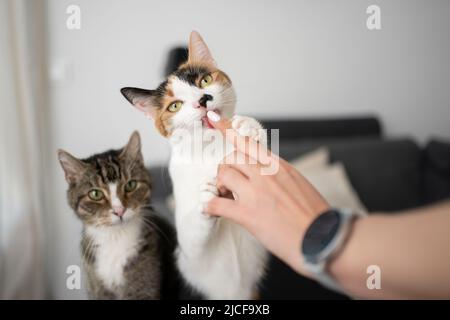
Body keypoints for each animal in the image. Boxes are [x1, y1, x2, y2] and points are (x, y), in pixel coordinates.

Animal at [57, 131, 179, 298]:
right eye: (95, 194)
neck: (115, 237)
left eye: (131, 185)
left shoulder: (144, 288)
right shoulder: (97, 288)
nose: (119, 210)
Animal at [120, 31, 268, 298]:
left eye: (205, 80)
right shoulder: (188, 256)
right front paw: (207, 197)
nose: (203, 99)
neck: (210, 149)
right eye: (175, 105)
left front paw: (249, 127)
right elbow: (193, 234)